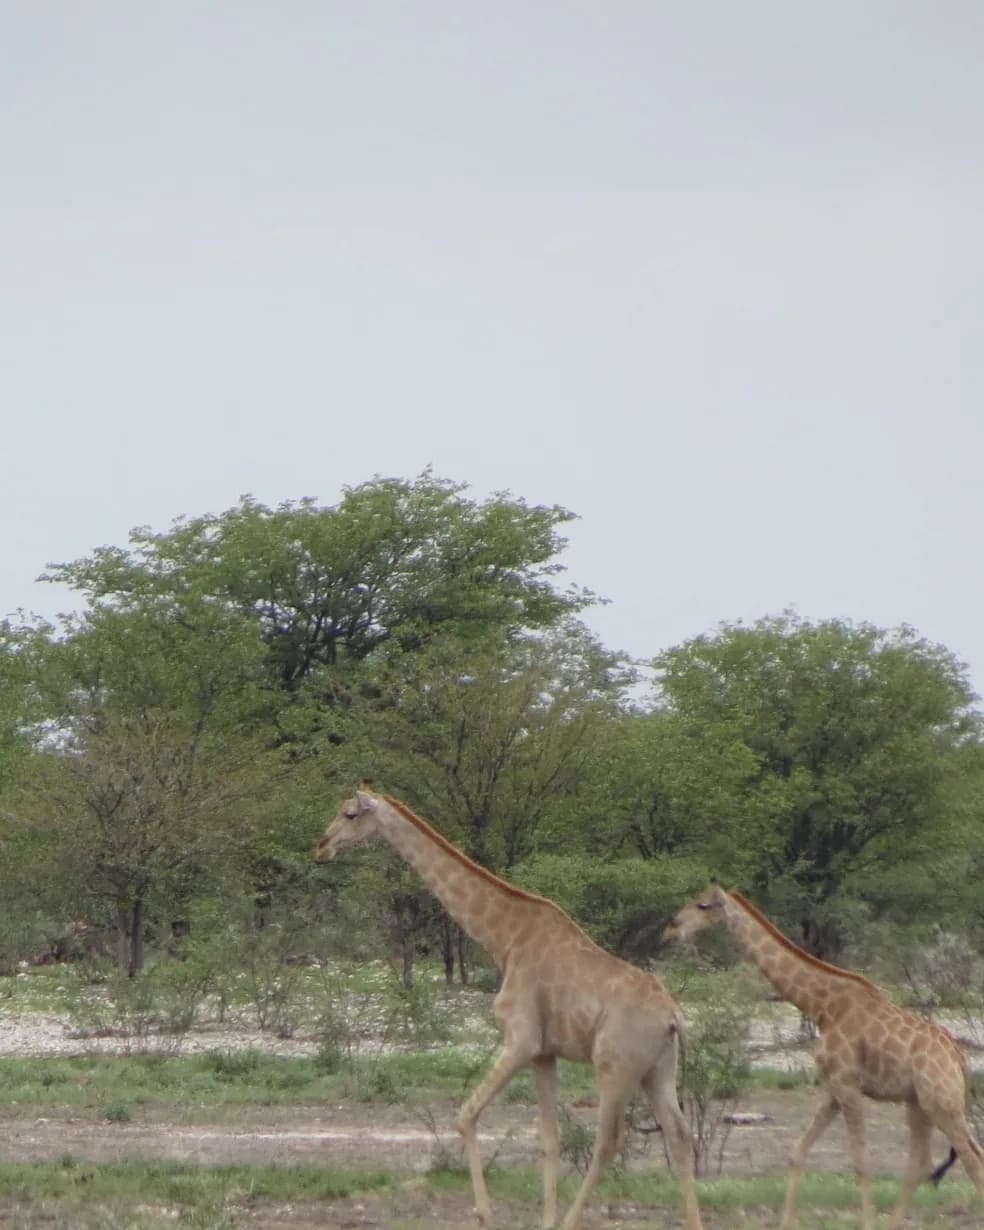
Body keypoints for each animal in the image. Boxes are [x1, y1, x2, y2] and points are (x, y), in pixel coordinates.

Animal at [316, 787, 703, 1230]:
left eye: (349, 814)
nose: (321, 847)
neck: (503, 938)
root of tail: (673, 1018)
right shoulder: (544, 1053)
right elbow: (550, 1139)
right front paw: (544, 1220)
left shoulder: (521, 1039)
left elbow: (466, 1114)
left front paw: (486, 1214)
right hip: (658, 1069)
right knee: (679, 1134)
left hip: (615, 1066)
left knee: (608, 1142)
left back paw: (572, 1221)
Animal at [665, 883, 984, 1230]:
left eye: (703, 905)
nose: (671, 929)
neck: (821, 1006)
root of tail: (960, 1060)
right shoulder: (833, 1088)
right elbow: (796, 1152)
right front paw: (785, 1223)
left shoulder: (848, 1084)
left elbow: (861, 1162)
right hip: (920, 1104)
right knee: (922, 1162)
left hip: (942, 1105)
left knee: (971, 1160)